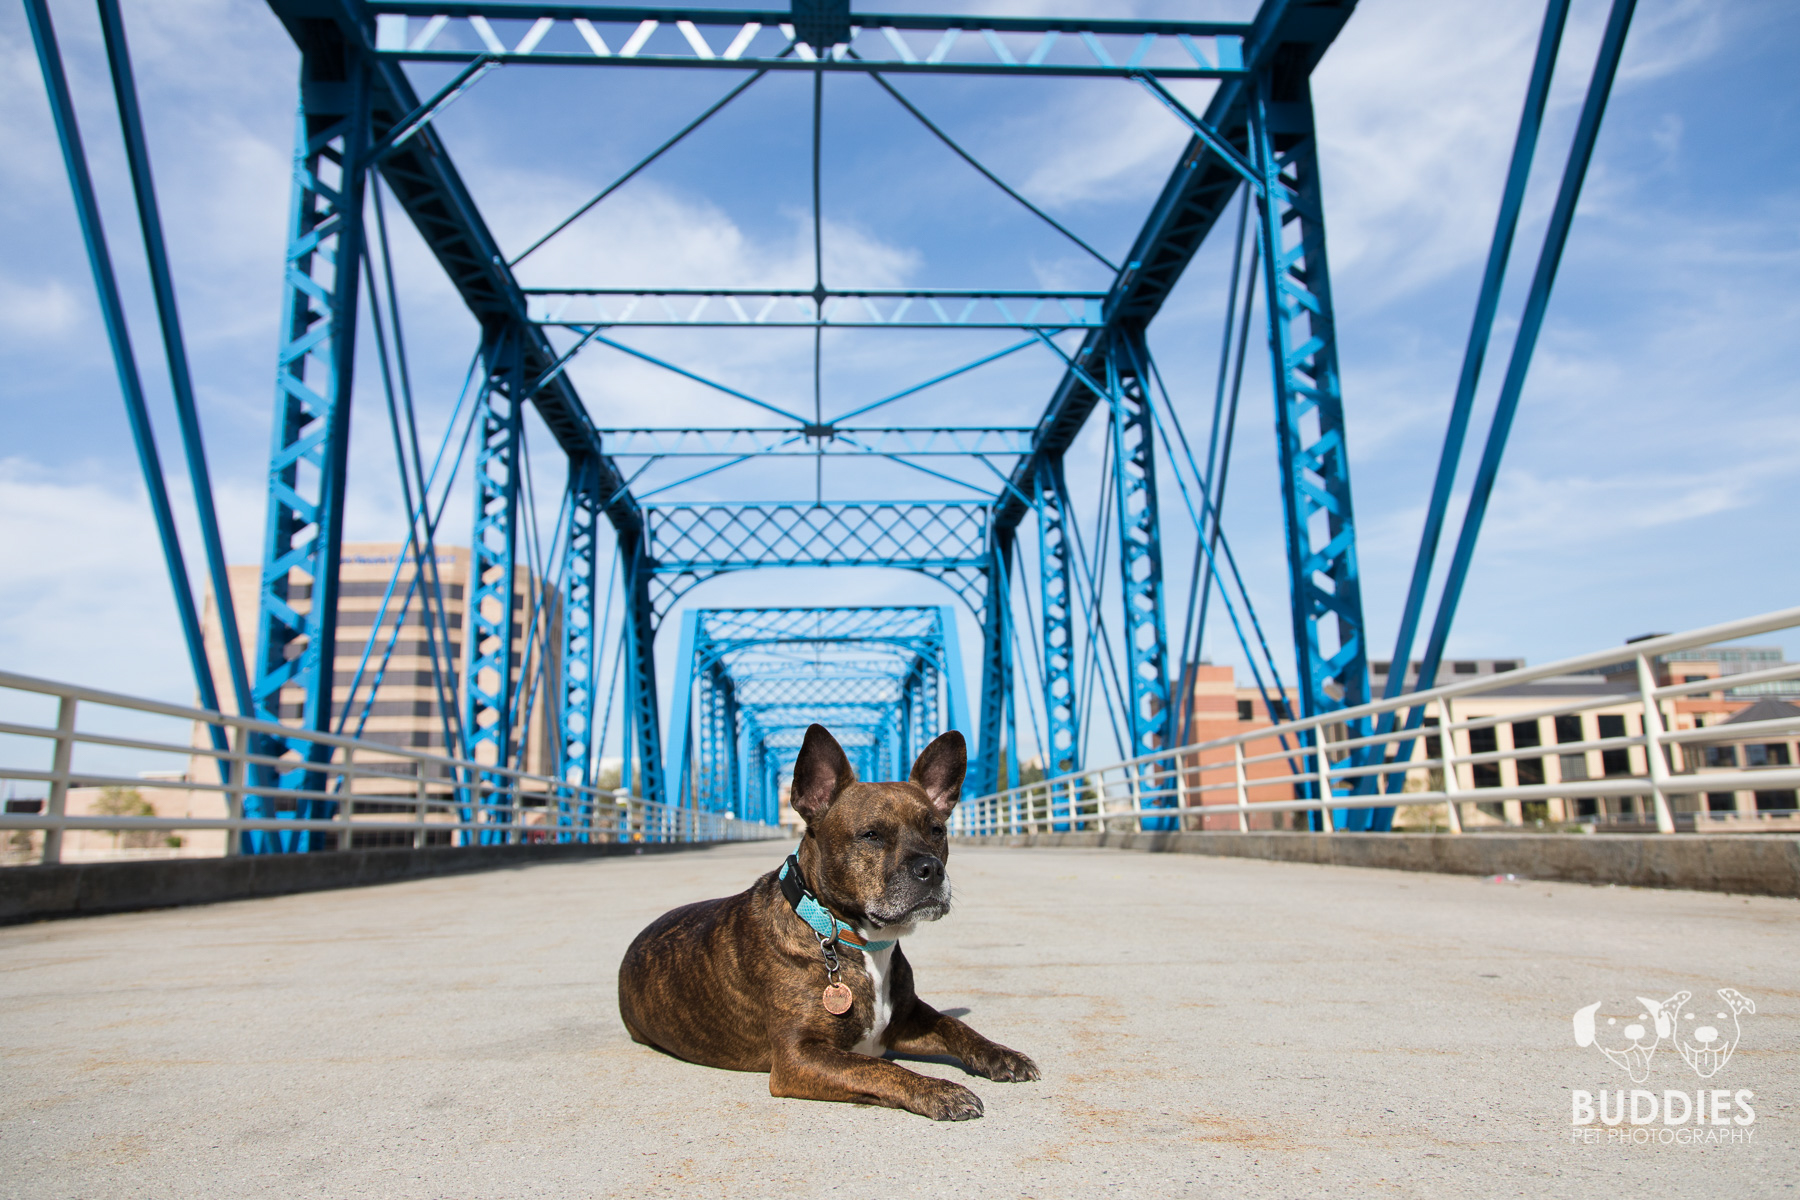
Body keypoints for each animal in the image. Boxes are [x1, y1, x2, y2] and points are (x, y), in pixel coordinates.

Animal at [619, 723, 1044, 1129]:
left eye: (937, 830)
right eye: (871, 835)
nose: (931, 868)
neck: (853, 937)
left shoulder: (908, 1019)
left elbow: (955, 1026)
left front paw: (1001, 1054)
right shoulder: (798, 1057)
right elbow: (879, 1067)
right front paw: (940, 1090)